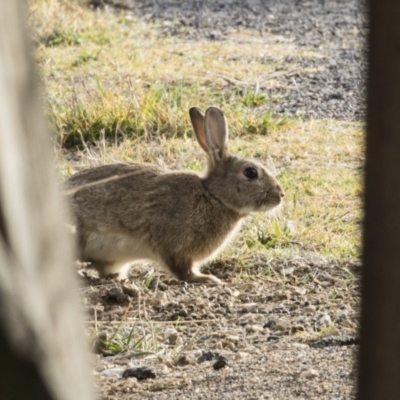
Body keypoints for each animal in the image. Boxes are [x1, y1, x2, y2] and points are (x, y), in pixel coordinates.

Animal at [65, 106, 282, 284]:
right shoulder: (174, 247)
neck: (213, 196)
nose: (280, 195)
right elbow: (183, 270)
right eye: (251, 172)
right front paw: (207, 279)